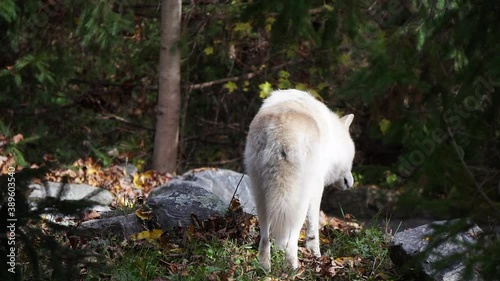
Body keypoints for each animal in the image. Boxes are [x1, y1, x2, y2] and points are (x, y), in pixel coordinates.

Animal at [243, 89, 356, 270]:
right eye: (351, 158)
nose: (350, 182)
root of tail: (281, 131)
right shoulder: (317, 188)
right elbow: (313, 228)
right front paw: (316, 255)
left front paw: (279, 250)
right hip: (299, 201)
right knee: (292, 239)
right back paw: (293, 269)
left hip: (261, 195)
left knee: (265, 238)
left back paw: (265, 268)